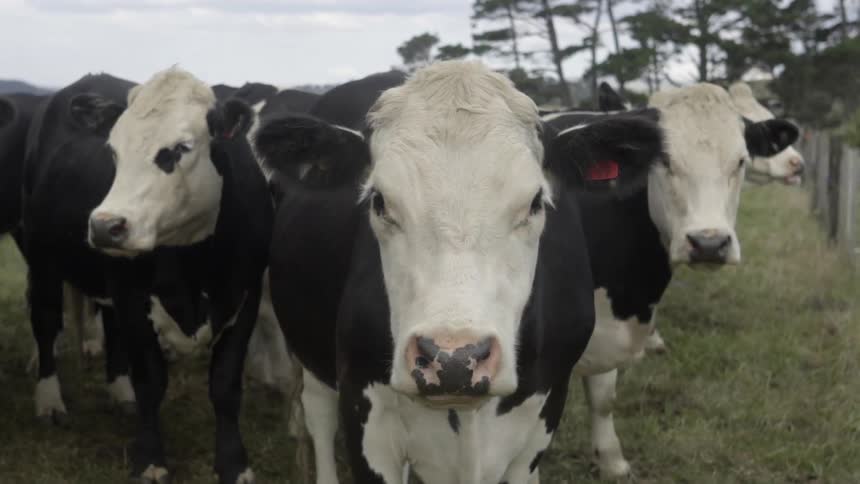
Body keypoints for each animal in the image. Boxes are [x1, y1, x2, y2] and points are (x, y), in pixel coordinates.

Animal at [254, 60, 667, 484]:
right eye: (379, 201)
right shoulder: (365, 418)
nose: (453, 359)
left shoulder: (543, 412)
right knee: (318, 417)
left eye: (536, 202)